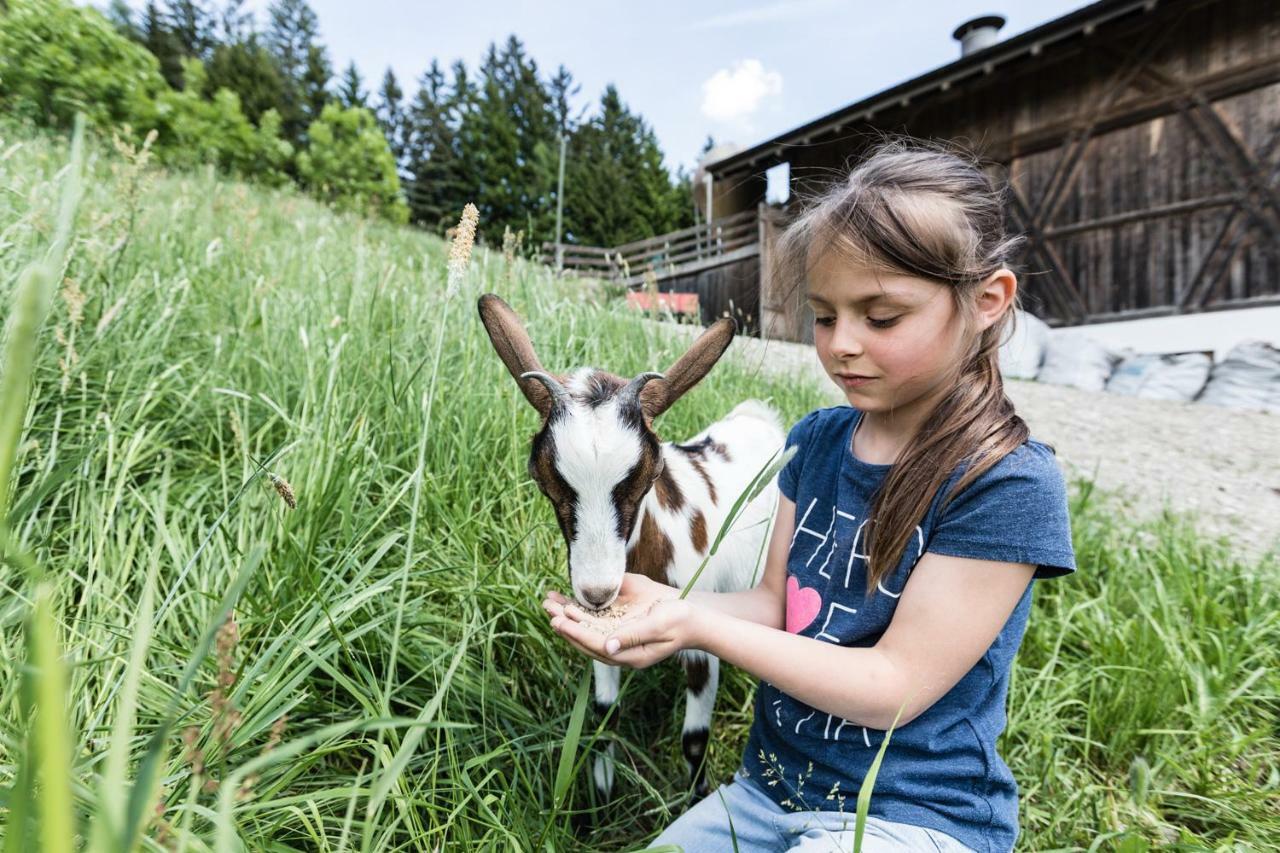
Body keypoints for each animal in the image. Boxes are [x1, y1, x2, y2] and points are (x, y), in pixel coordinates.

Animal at [478, 292, 783, 799]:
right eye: (542, 478)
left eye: (648, 476)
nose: (598, 592)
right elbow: (605, 716)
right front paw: (601, 795)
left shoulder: (702, 644)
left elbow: (694, 738)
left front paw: (696, 797)